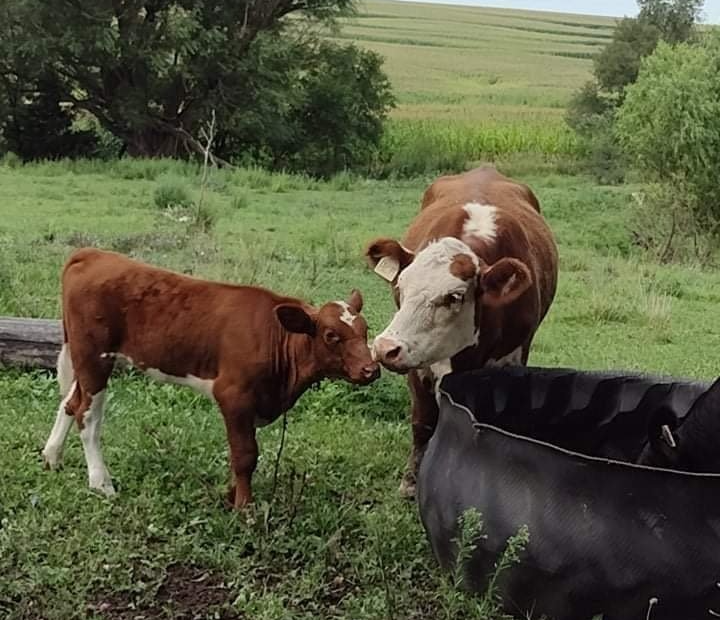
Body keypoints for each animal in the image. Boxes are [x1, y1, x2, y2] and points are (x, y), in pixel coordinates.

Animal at [42, 248, 380, 509]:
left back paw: (52, 458)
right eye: (331, 335)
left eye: (365, 330)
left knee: (70, 402)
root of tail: (92, 254)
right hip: (94, 357)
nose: (371, 370)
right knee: (87, 416)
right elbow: (245, 454)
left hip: (85, 360)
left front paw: (231, 495)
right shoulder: (233, 395)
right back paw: (101, 483)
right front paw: (244, 507)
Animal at [365, 165, 558, 497]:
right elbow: (422, 421)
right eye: (400, 286)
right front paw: (411, 481)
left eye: (454, 297)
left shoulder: (510, 361)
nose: (384, 348)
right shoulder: (418, 362)